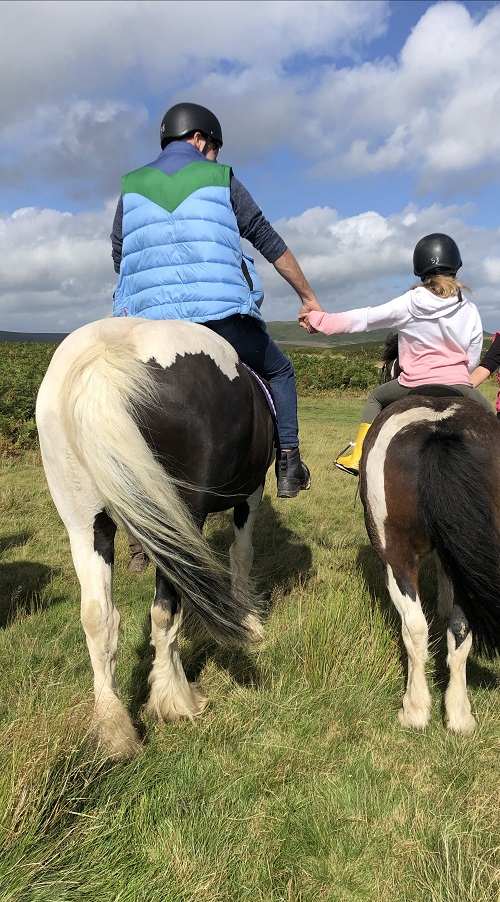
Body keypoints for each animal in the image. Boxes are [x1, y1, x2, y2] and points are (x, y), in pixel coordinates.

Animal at [36, 318, 274, 756]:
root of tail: (107, 353)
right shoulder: (251, 493)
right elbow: (242, 554)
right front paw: (249, 622)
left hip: (84, 522)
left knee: (98, 615)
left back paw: (113, 728)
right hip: (180, 517)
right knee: (164, 608)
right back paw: (175, 699)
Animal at [360, 396, 500, 736]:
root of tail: (439, 430)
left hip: (395, 557)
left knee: (415, 628)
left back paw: (415, 709)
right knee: (461, 630)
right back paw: (459, 715)